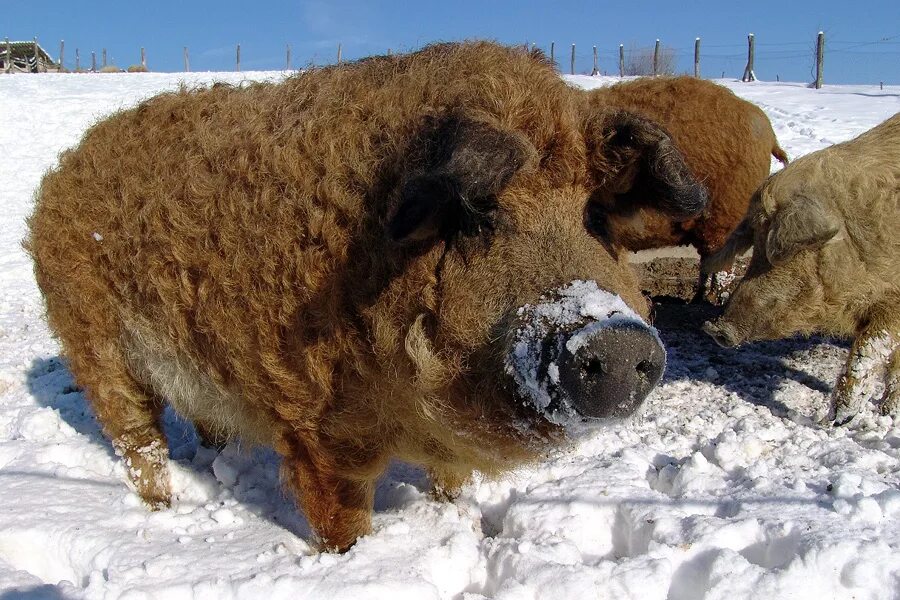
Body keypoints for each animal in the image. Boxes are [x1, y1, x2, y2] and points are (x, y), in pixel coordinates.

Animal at [24, 39, 708, 552]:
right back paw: (165, 512)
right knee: (138, 441)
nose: (615, 338)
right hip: (95, 346)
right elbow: (342, 515)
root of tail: (63, 171)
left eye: (596, 215)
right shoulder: (317, 424)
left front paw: (453, 513)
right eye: (478, 216)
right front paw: (348, 559)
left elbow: (450, 481)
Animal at [704, 111, 900, 422]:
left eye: (785, 252)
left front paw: (838, 420)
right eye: (755, 243)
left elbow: (869, 350)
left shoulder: (892, 303)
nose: (715, 328)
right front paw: (879, 412)